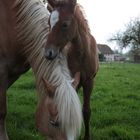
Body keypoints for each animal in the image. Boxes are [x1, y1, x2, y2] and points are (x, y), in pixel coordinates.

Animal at [44, 0, 99, 139]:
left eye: (65, 24)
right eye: (49, 23)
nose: (48, 53)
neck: (81, 53)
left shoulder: (89, 81)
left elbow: (86, 111)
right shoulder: (72, 79)